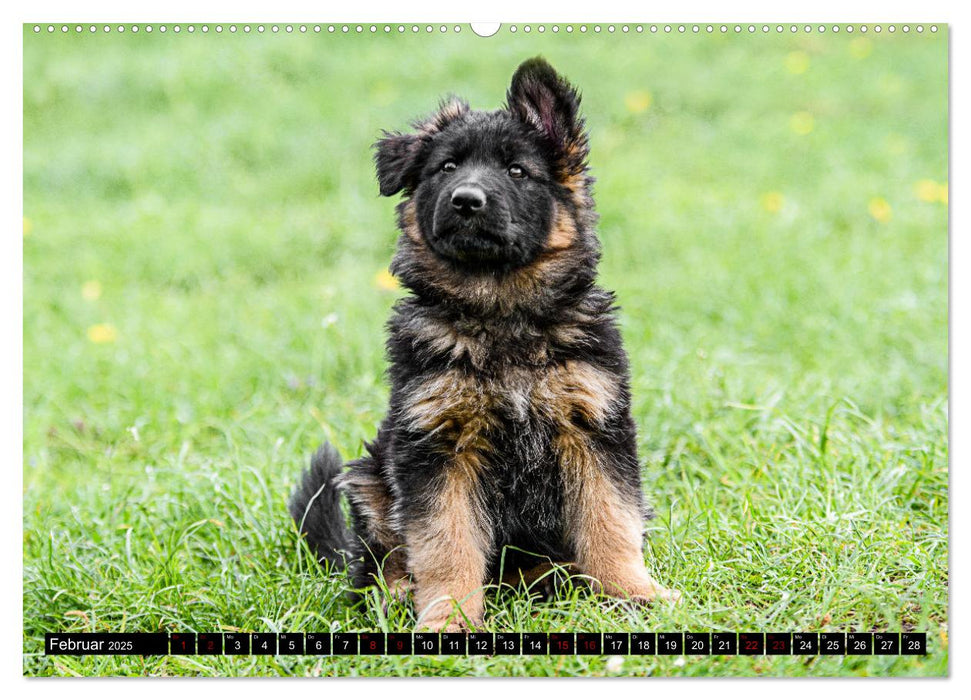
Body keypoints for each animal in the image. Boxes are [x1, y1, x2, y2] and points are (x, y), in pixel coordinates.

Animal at [292, 57, 680, 632]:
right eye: (447, 168)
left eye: (517, 171)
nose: (466, 201)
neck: (501, 314)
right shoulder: (437, 446)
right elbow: (445, 543)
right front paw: (448, 619)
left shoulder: (594, 426)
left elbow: (611, 519)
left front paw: (632, 594)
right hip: (370, 480)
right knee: (377, 564)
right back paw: (399, 594)